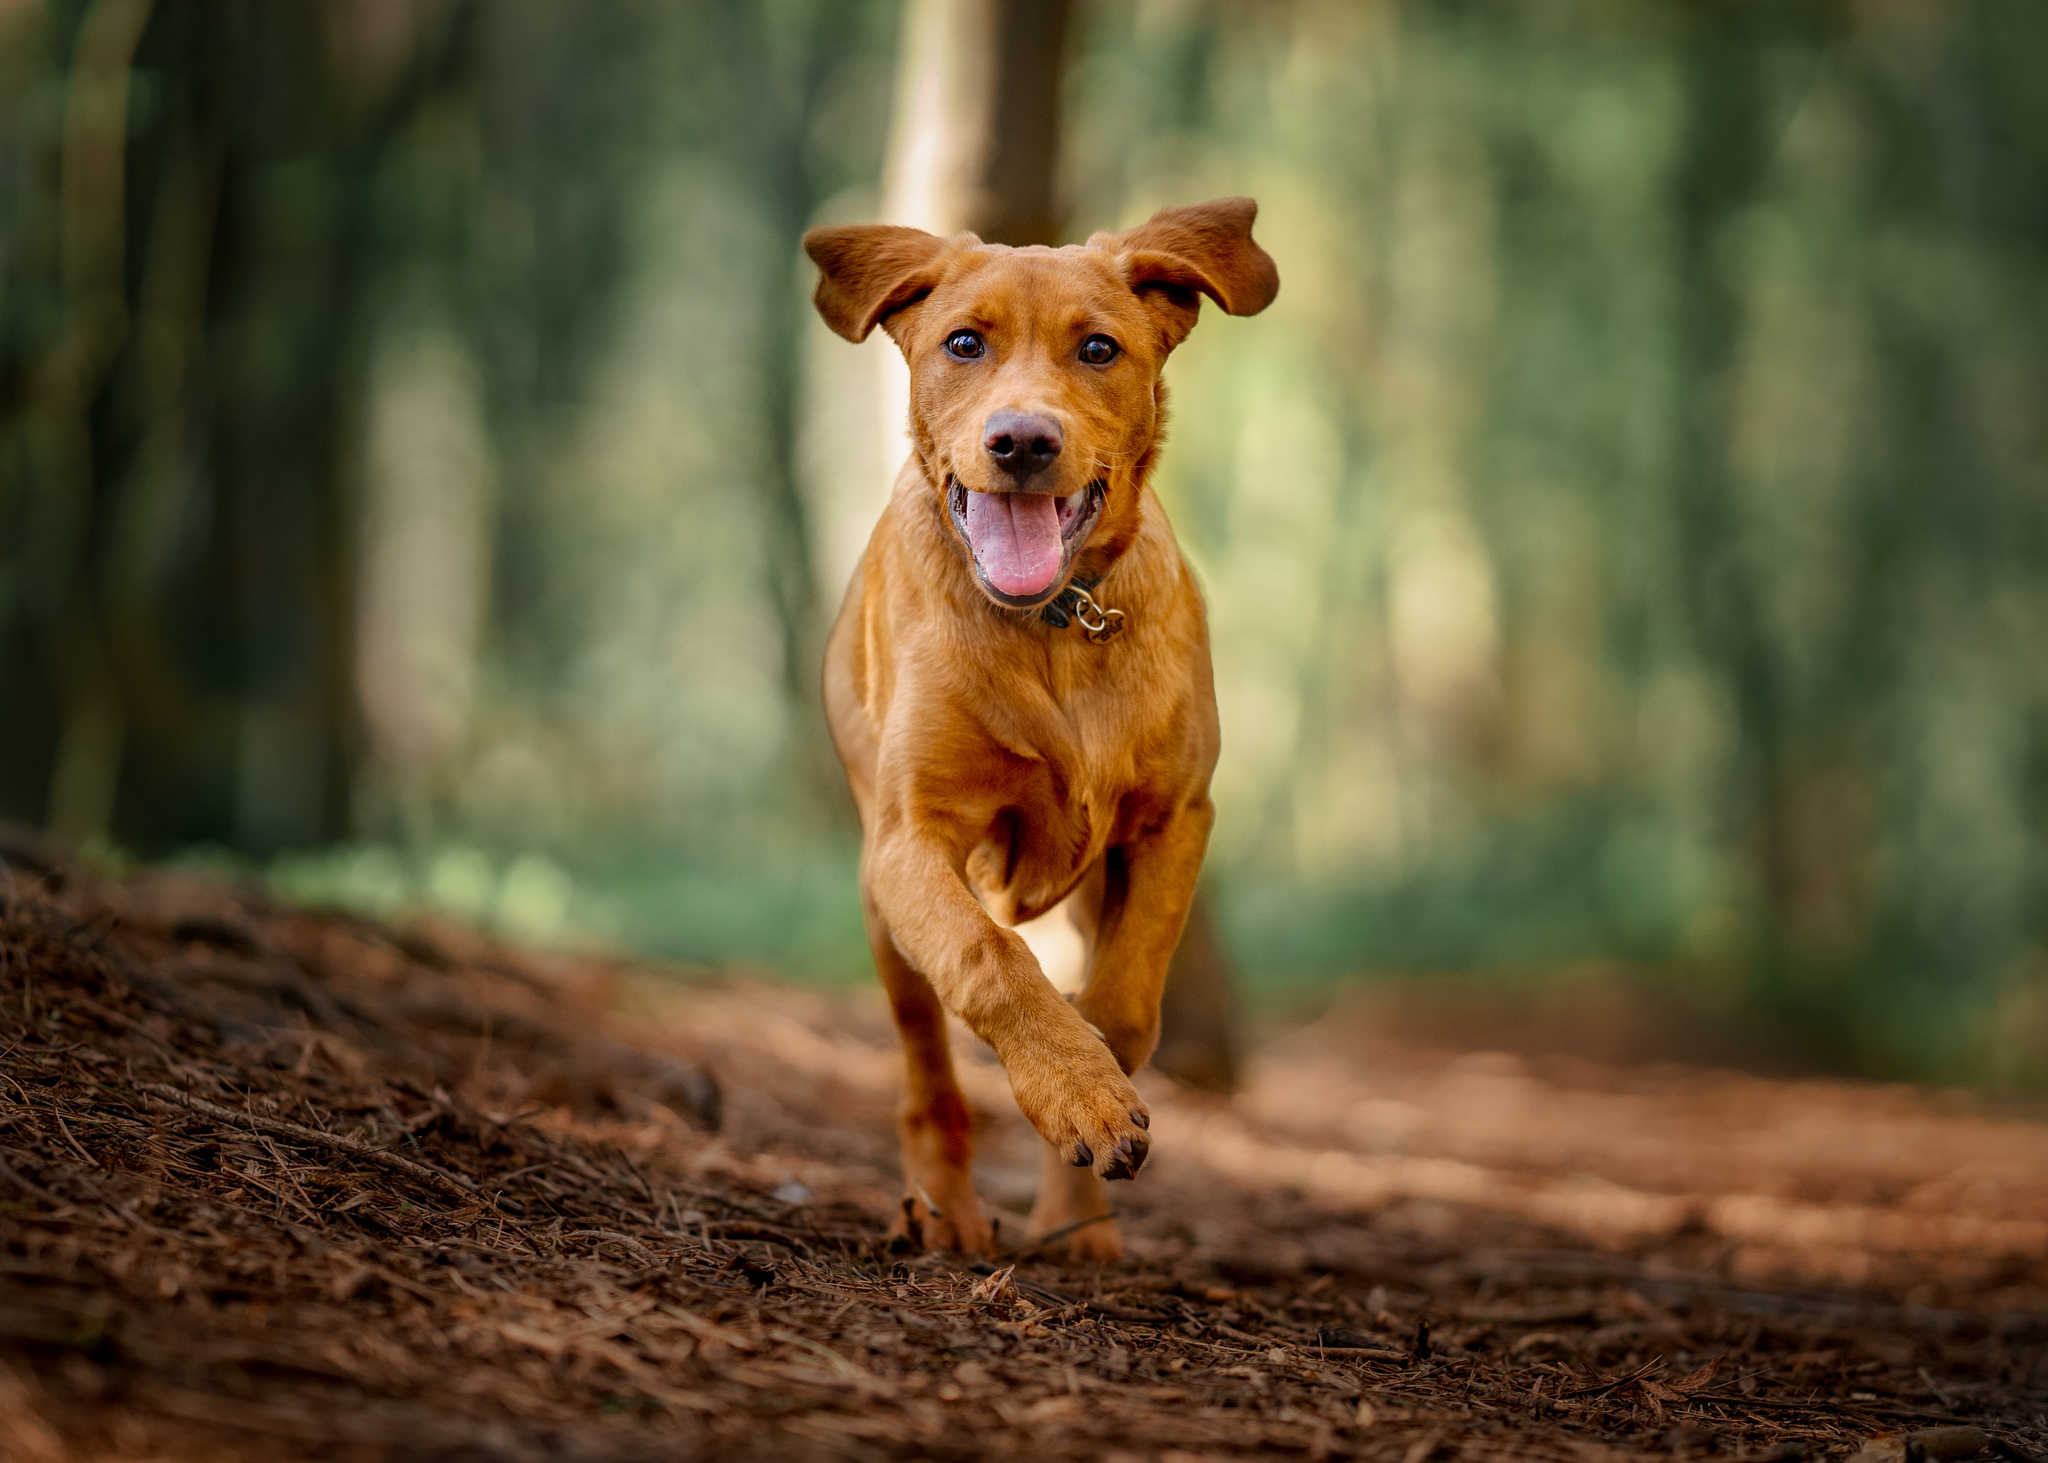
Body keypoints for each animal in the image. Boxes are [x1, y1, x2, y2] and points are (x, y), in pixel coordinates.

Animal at [802, 201, 1269, 1254]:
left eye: (1098, 349)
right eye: (962, 344)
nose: (1021, 441)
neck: (1053, 626)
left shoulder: (1176, 819)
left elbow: (1124, 1007)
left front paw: (1090, 1113)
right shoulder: (910, 841)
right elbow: (988, 960)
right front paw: (1074, 1092)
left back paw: (1075, 1224)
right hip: (881, 913)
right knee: (928, 1074)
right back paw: (945, 1208)